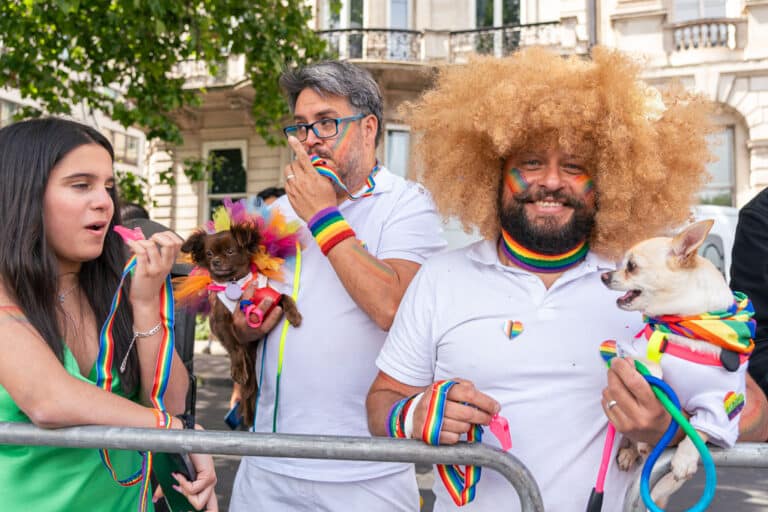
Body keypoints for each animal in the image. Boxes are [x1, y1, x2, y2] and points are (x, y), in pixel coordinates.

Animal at [182, 222, 302, 426]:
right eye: (209, 254)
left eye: (230, 251)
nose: (216, 262)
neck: (234, 283)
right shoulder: (220, 324)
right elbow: (235, 347)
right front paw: (238, 369)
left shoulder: (269, 297)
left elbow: (285, 297)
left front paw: (294, 316)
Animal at [600, 220, 752, 508]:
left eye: (631, 265)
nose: (604, 276)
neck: (682, 326)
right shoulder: (628, 351)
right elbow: (653, 365)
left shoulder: (720, 402)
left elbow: (700, 430)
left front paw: (684, 459)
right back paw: (631, 451)